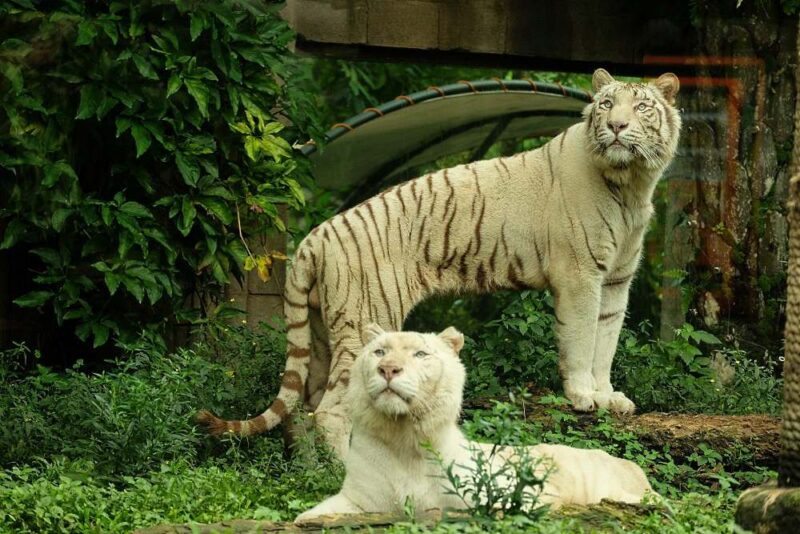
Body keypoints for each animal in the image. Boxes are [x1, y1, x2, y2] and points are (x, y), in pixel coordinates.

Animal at [197, 68, 682, 458]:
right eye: (606, 104)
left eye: (641, 106)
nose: (616, 126)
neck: (631, 184)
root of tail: (315, 236)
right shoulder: (580, 274)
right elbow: (582, 341)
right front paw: (582, 395)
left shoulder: (616, 280)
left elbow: (606, 343)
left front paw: (610, 396)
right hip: (364, 318)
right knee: (332, 411)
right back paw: (340, 473)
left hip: (320, 330)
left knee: (304, 408)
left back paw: (308, 472)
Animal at [294, 324, 654, 524]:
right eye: (379, 352)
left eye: (420, 355)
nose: (388, 369)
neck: (404, 438)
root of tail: (635, 468)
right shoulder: (358, 502)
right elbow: (305, 517)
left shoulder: (519, 496)